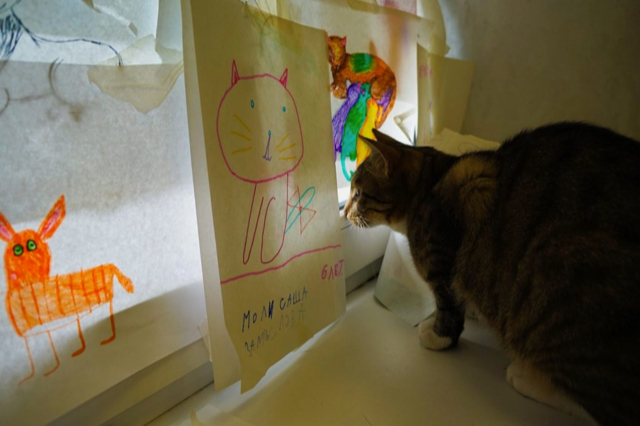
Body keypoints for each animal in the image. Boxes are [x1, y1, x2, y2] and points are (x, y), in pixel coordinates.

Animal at [344, 121, 640, 424]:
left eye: (357, 194)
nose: (344, 213)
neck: (429, 187)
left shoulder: (443, 263)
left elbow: (448, 307)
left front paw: (438, 335)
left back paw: (530, 380)